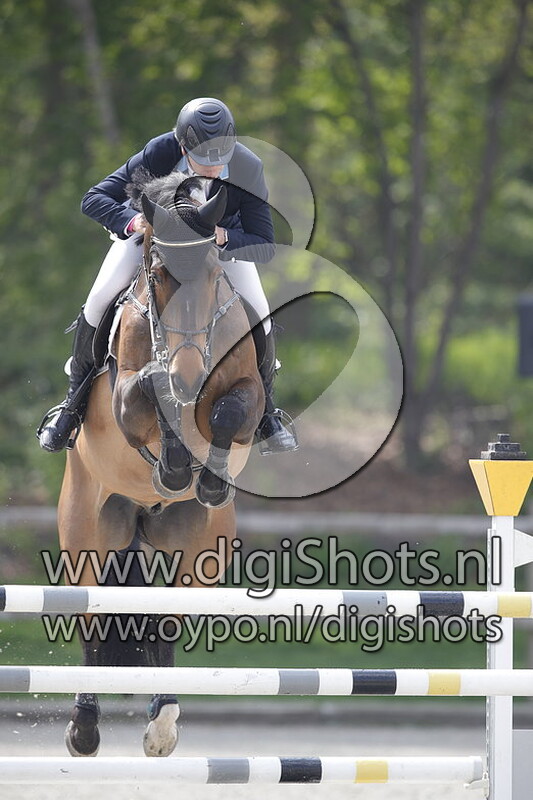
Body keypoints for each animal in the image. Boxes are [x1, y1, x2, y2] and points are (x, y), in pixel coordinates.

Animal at [57, 171, 265, 757]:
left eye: (215, 274)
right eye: (157, 276)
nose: (190, 374)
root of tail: (141, 518)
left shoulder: (248, 397)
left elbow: (230, 409)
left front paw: (207, 476)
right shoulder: (126, 398)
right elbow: (151, 386)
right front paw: (173, 460)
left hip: (195, 548)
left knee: (168, 618)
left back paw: (163, 721)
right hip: (87, 534)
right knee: (92, 618)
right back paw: (85, 727)